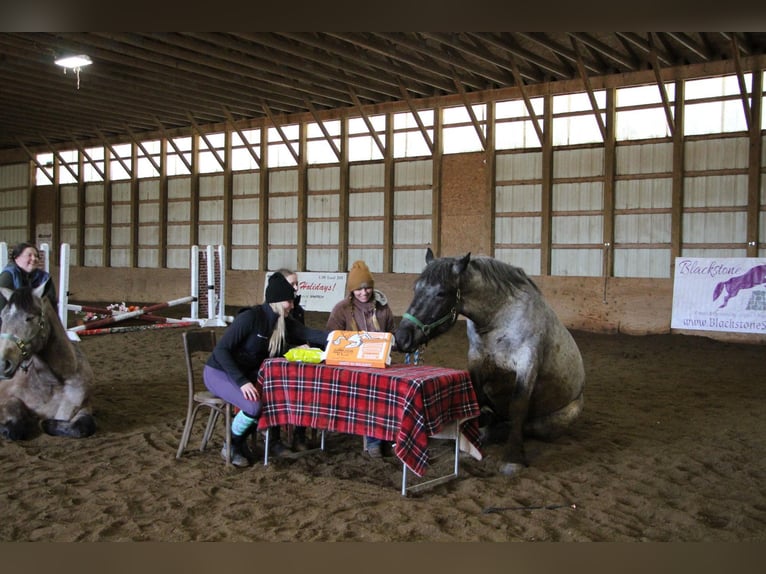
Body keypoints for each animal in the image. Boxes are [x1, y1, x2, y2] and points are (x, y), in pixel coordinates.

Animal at [0, 284, 95, 440]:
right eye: (2, 316)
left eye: (29, 318)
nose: (3, 364)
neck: (53, 383)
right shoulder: (6, 398)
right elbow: (14, 426)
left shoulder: (84, 406)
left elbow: (84, 426)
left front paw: (44, 423)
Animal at [396, 250, 588, 480]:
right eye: (416, 288)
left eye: (441, 293)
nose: (401, 338)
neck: (499, 318)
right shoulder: (477, 359)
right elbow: (477, 397)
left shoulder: (527, 362)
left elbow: (518, 407)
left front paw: (512, 458)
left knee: (528, 426)